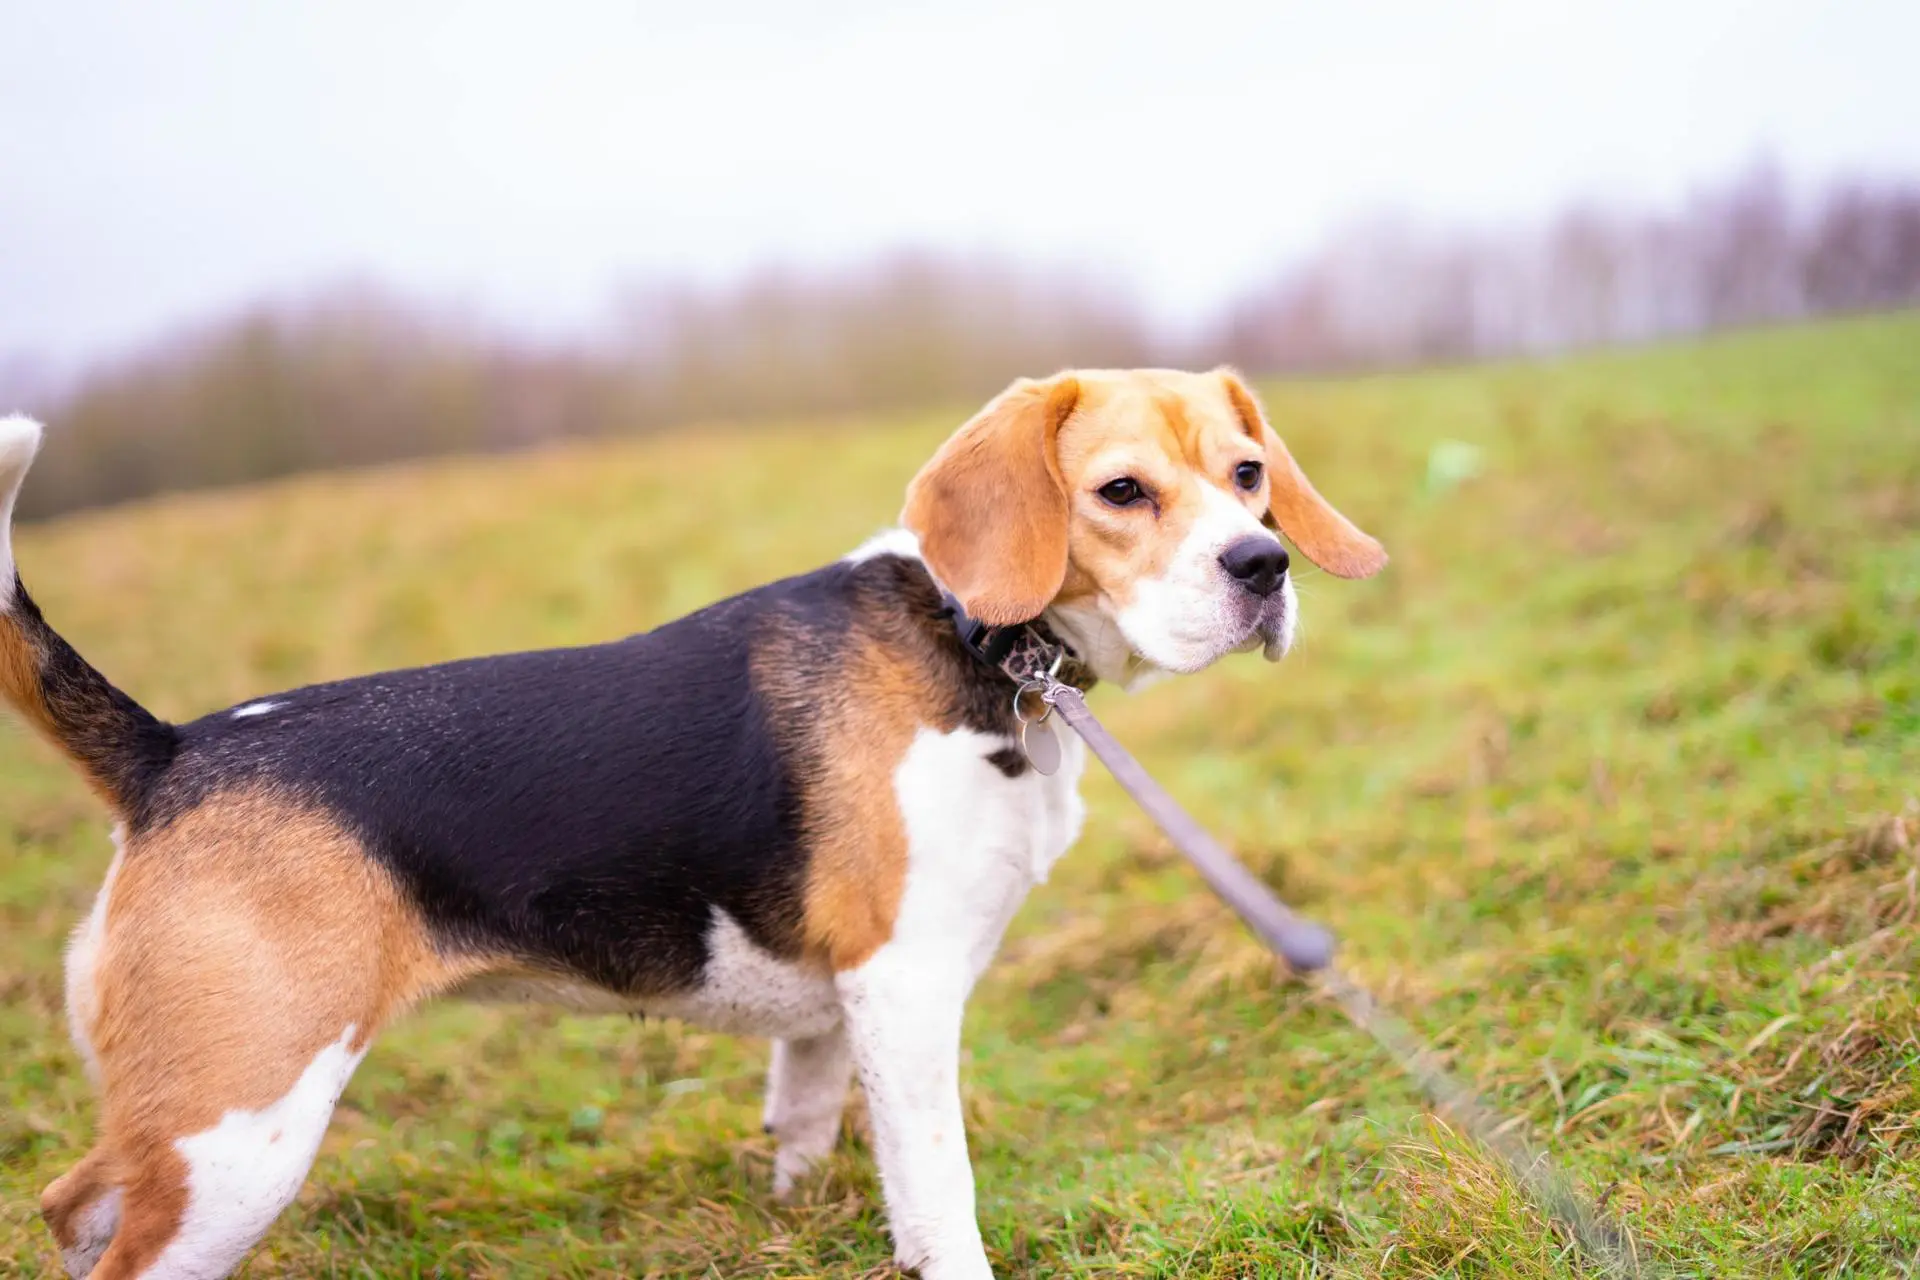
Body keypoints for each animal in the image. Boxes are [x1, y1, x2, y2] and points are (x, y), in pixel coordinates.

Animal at [0, 370, 1382, 1280]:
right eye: (1122, 491)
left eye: (1249, 474)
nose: (1264, 567)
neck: (984, 638)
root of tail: (174, 749)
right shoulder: (906, 986)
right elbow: (940, 1187)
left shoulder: (838, 1011)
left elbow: (809, 1130)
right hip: (241, 1129)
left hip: (189, 1124)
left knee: (72, 1203)